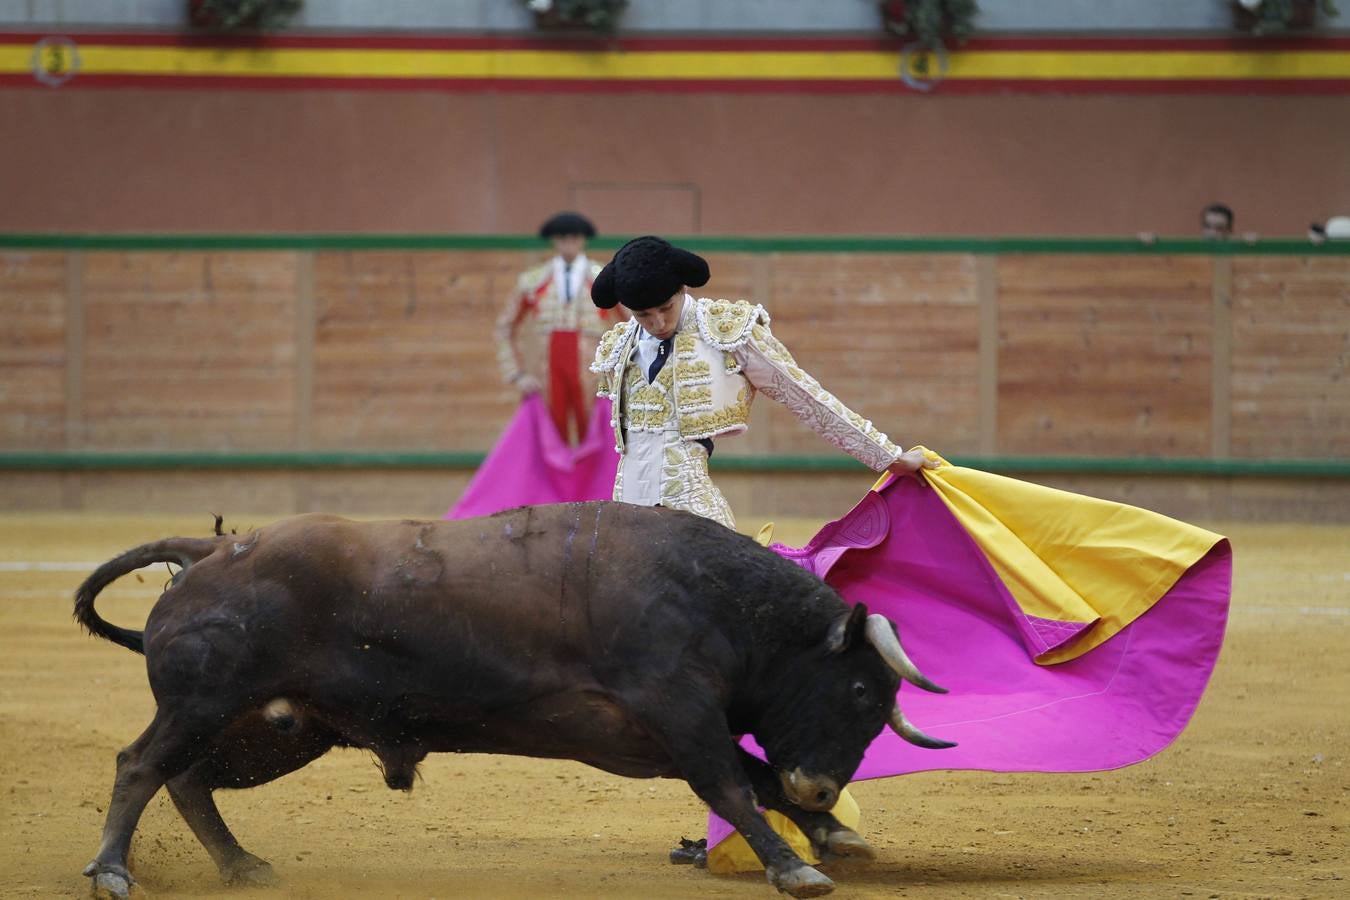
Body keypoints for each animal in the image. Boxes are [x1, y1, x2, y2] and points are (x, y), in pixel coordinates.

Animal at [73, 504, 950, 895]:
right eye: (860, 687)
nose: (824, 787)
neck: (713, 599)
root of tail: (213, 548)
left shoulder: (659, 737)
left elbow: (757, 778)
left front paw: (832, 833)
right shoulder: (678, 713)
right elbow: (735, 786)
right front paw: (796, 865)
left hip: (276, 728)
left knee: (188, 778)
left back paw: (241, 864)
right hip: (205, 706)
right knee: (139, 765)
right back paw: (111, 870)